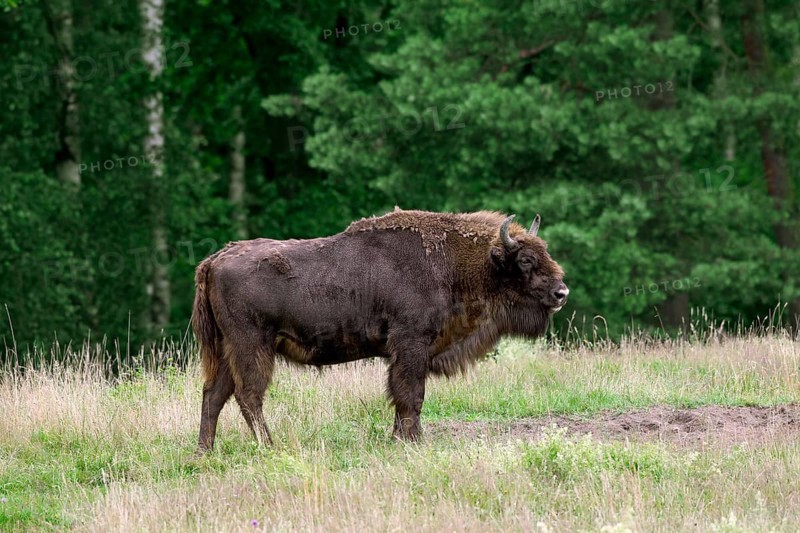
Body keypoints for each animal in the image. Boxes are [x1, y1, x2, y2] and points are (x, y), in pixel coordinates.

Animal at [192, 209, 568, 451]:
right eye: (525, 261)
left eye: (546, 252)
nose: (561, 292)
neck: (453, 263)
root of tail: (214, 260)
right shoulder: (411, 344)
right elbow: (411, 394)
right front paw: (413, 441)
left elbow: (401, 394)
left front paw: (399, 438)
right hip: (252, 345)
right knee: (248, 395)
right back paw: (270, 446)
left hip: (227, 349)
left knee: (214, 395)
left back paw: (205, 452)